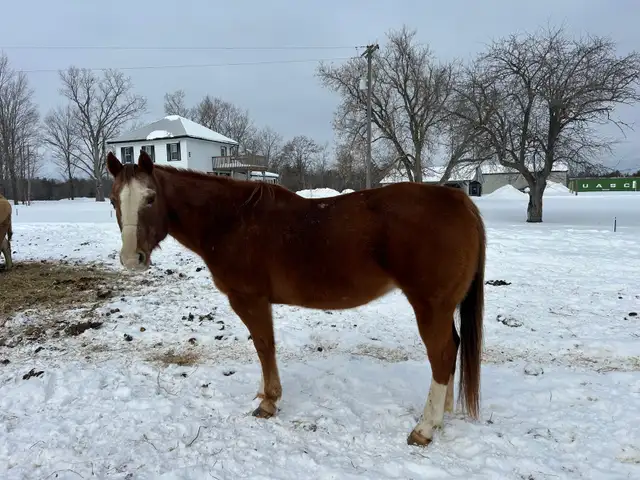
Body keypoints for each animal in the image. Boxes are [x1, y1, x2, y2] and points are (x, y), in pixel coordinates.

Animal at [106, 150, 486, 447]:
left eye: (151, 198)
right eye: (113, 200)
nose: (131, 259)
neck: (231, 221)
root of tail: (460, 202)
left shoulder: (250, 299)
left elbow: (264, 346)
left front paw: (269, 402)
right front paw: (263, 393)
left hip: (430, 307)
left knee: (441, 355)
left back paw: (424, 428)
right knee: (451, 349)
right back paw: (442, 413)